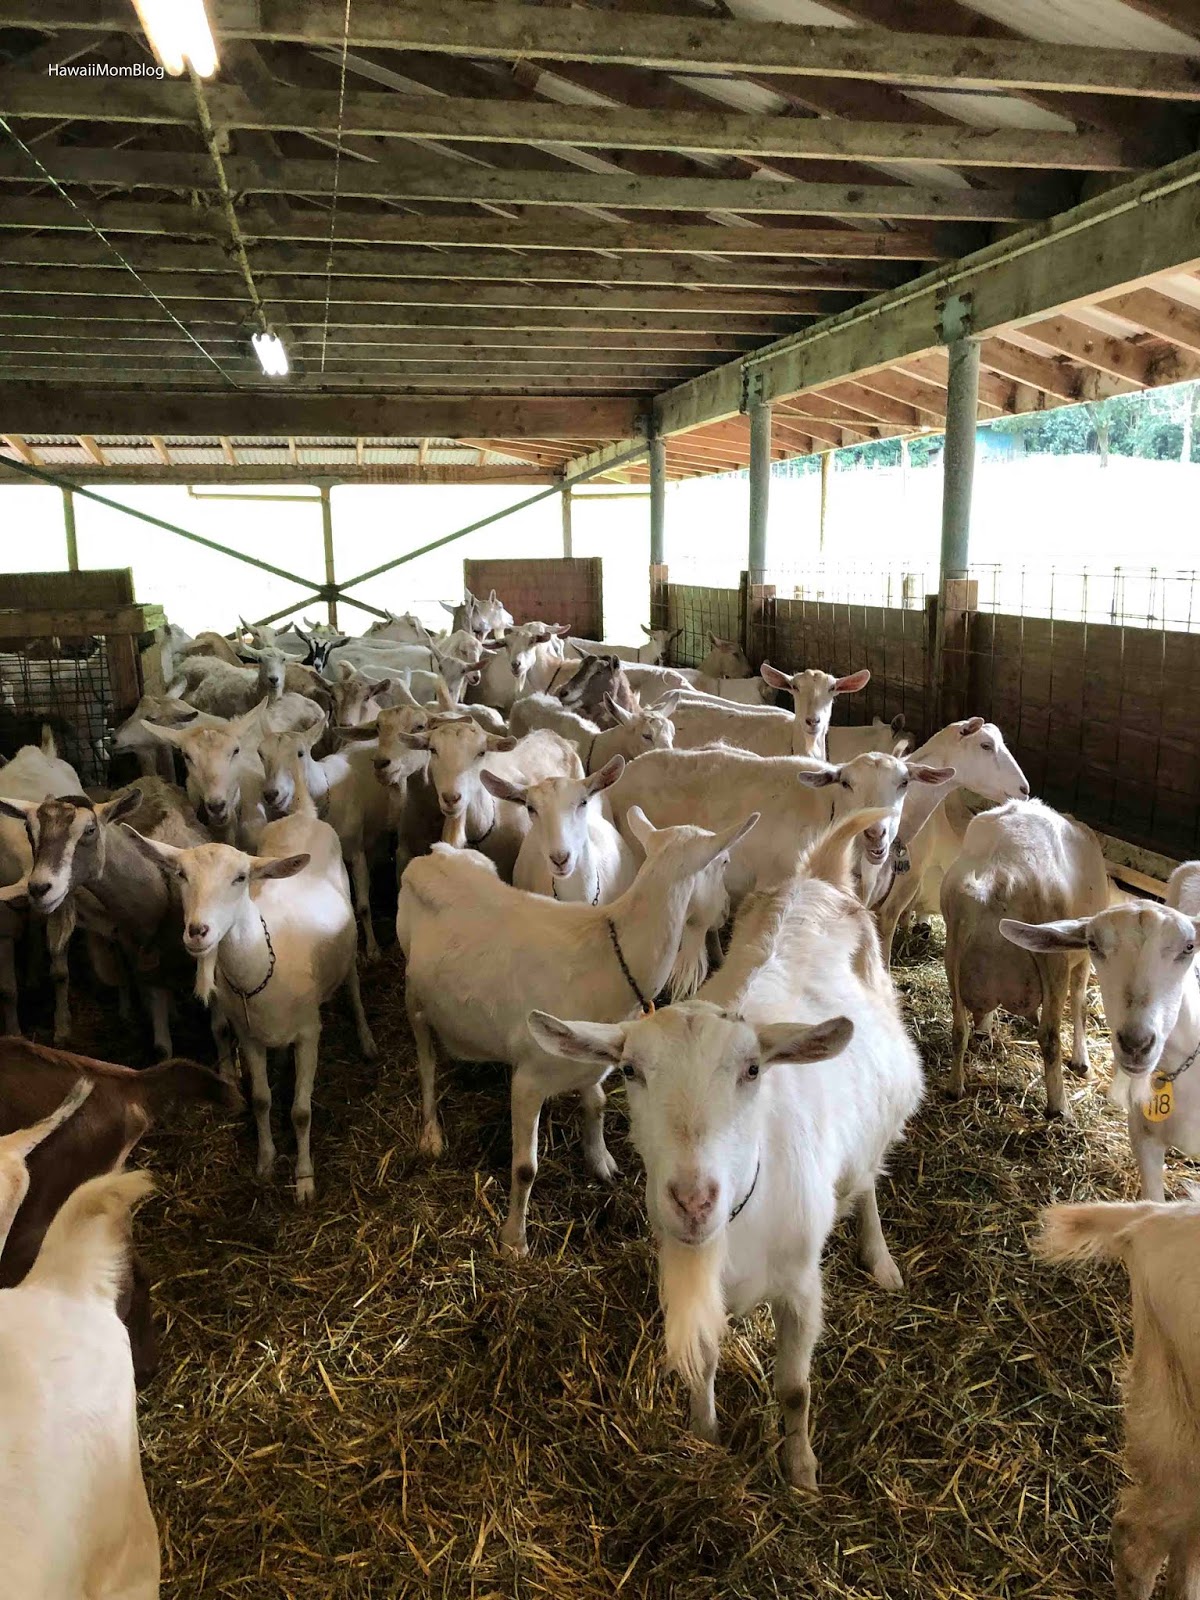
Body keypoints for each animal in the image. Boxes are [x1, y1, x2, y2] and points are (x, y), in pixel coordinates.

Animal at [396, 809, 758, 1253]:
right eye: (723, 862)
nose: (725, 915)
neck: (608, 958)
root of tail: (434, 853)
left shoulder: (591, 1055)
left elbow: (598, 1104)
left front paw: (602, 1162)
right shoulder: (530, 1078)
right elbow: (525, 1167)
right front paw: (514, 1241)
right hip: (413, 989)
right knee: (426, 1060)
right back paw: (431, 1133)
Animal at [528, 808, 922, 1487]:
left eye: (753, 1071)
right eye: (629, 1071)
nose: (693, 1201)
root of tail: (818, 879)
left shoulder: (801, 1288)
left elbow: (794, 1390)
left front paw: (801, 1471)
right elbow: (706, 1361)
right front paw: (704, 1434)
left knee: (867, 1179)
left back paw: (880, 1257)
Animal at [940, 798, 1108, 1115]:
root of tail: (999, 873)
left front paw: (985, 1027)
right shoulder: (1082, 954)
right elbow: (1080, 1002)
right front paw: (1082, 1062)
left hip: (953, 947)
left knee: (958, 1028)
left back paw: (955, 1086)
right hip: (1052, 955)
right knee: (1050, 1036)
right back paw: (1059, 1107)